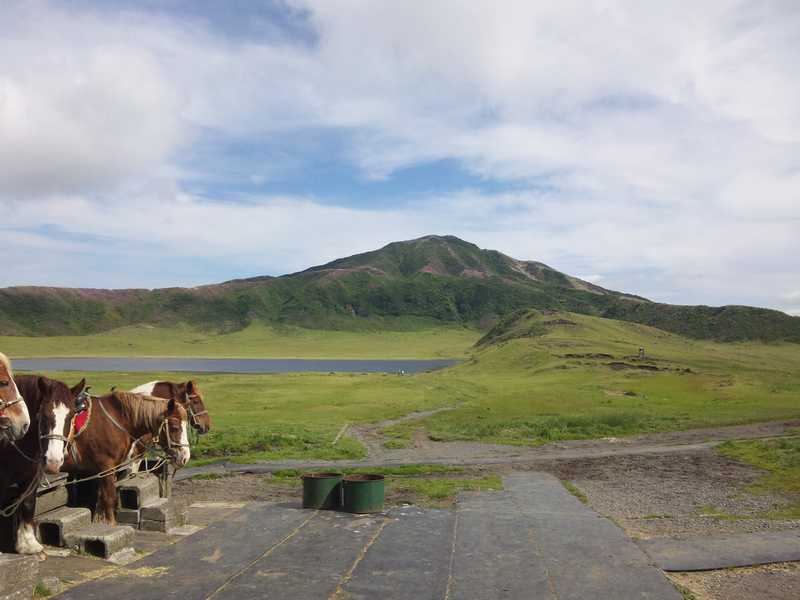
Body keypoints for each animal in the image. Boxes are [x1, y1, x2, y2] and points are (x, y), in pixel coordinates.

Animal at [0, 376, 86, 552]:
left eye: (71, 416)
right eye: (43, 415)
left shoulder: (32, 476)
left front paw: (28, 543)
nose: (54, 461)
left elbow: (27, 503)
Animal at [61, 392, 189, 524]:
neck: (115, 421)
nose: (185, 457)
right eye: (174, 427)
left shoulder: (105, 471)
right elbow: (109, 498)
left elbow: (101, 497)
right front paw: (111, 523)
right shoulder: (106, 468)